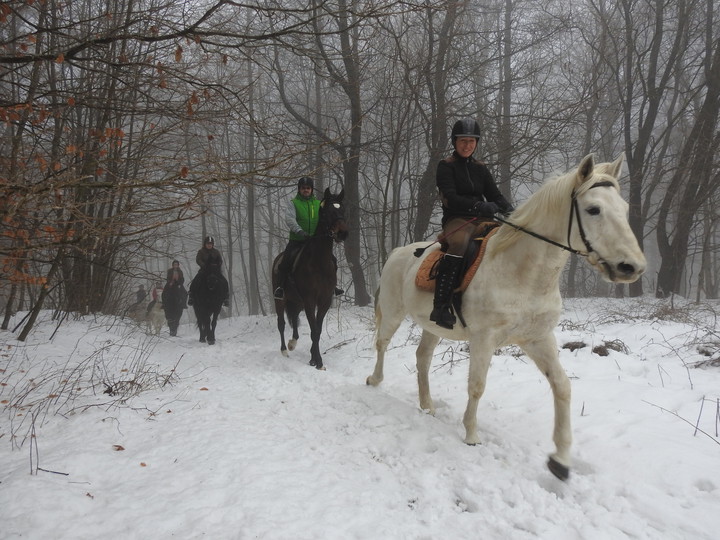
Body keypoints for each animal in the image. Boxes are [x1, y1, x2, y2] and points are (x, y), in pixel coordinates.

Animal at [272, 188, 350, 370]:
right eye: (328, 212)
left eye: (343, 209)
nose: (343, 233)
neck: (319, 262)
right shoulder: (310, 300)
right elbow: (314, 330)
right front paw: (318, 361)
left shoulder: (324, 301)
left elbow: (318, 330)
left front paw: (314, 358)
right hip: (281, 300)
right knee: (281, 323)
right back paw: (284, 350)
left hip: (297, 301)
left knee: (294, 318)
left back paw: (293, 343)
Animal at [366, 154, 648, 478]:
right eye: (593, 209)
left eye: (623, 208)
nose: (632, 267)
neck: (523, 273)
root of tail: (398, 252)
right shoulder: (484, 339)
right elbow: (477, 385)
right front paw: (471, 434)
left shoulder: (538, 339)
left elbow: (562, 386)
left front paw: (561, 459)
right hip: (393, 313)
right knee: (382, 344)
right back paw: (375, 380)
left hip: (432, 326)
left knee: (422, 358)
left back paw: (427, 405)